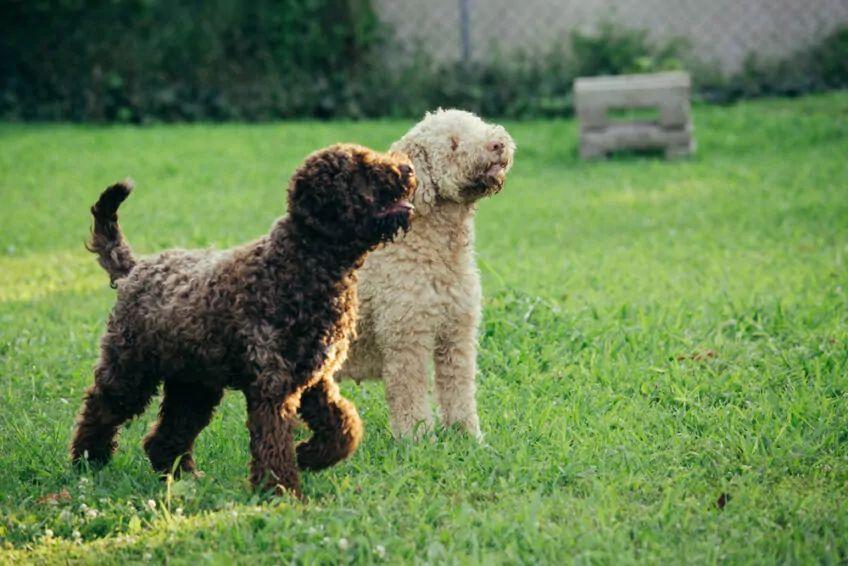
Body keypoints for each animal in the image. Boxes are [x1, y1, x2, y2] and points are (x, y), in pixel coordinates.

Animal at [69, 145, 418, 496]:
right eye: (364, 168)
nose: (408, 168)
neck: (302, 263)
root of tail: (135, 268)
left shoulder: (314, 379)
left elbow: (343, 429)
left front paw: (307, 455)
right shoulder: (272, 385)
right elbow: (274, 445)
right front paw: (280, 493)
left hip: (194, 384)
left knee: (166, 436)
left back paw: (184, 477)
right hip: (130, 371)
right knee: (99, 410)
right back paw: (87, 462)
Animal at [340, 110, 512, 440]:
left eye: (478, 125)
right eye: (453, 143)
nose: (497, 143)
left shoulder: (457, 333)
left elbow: (459, 388)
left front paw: (466, 436)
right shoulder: (406, 338)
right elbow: (410, 394)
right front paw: (418, 439)